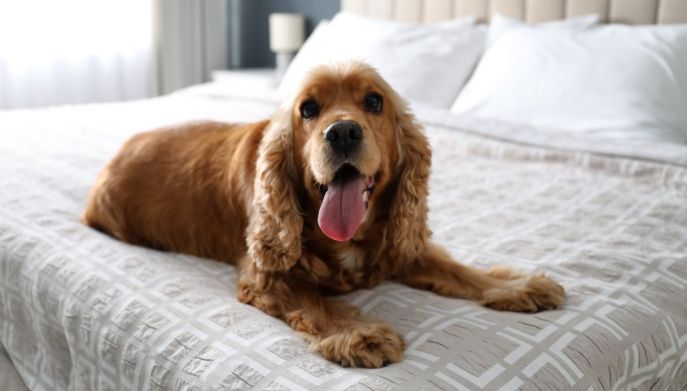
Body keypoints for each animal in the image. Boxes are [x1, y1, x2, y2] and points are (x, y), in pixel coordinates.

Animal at [83, 62, 564, 370]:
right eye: (309, 109)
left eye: (374, 101)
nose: (344, 131)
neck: (348, 237)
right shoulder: (265, 276)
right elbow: (315, 302)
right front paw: (360, 334)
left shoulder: (398, 247)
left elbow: (459, 270)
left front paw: (519, 286)